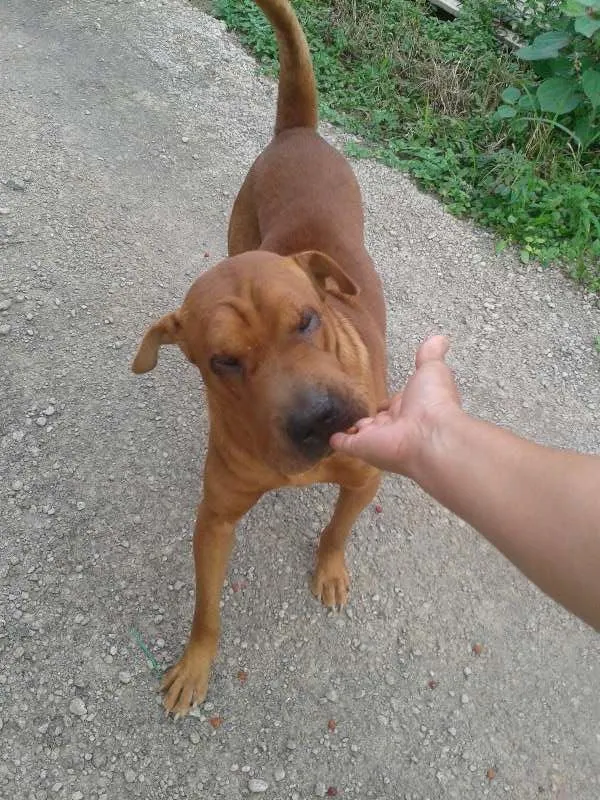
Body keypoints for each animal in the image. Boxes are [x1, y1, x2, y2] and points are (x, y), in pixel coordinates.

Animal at [132, 0, 386, 716]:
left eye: (308, 320)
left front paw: (330, 569)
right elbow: (207, 610)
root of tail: (297, 133)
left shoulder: (365, 478)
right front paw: (195, 665)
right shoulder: (215, 519)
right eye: (224, 362)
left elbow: (337, 529)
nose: (319, 419)